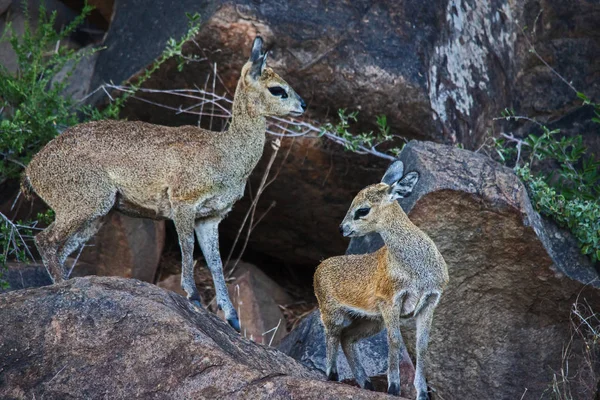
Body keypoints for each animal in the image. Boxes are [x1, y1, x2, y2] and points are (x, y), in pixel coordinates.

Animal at [21, 37, 308, 332]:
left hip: (96, 215)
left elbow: (216, 263)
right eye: (277, 89)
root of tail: (32, 170)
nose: (303, 105)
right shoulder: (183, 202)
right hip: (86, 202)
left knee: (60, 248)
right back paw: (63, 286)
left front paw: (232, 318)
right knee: (44, 240)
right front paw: (193, 295)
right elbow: (187, 247)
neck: (225, 154)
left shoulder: (210, 217)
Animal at [314, 161, 446, 398]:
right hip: (332, 314)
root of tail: (319, 267)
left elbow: (422, 348)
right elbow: (394, 342)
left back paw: (366, 383)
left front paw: (421, 393)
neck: (416, 270)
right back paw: (333, 376)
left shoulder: (430, 302)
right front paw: (394, 387)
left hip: (370, 321)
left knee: (347, 338)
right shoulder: (390, 301)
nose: (342, 228)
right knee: (332, 337)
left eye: (363, 209)